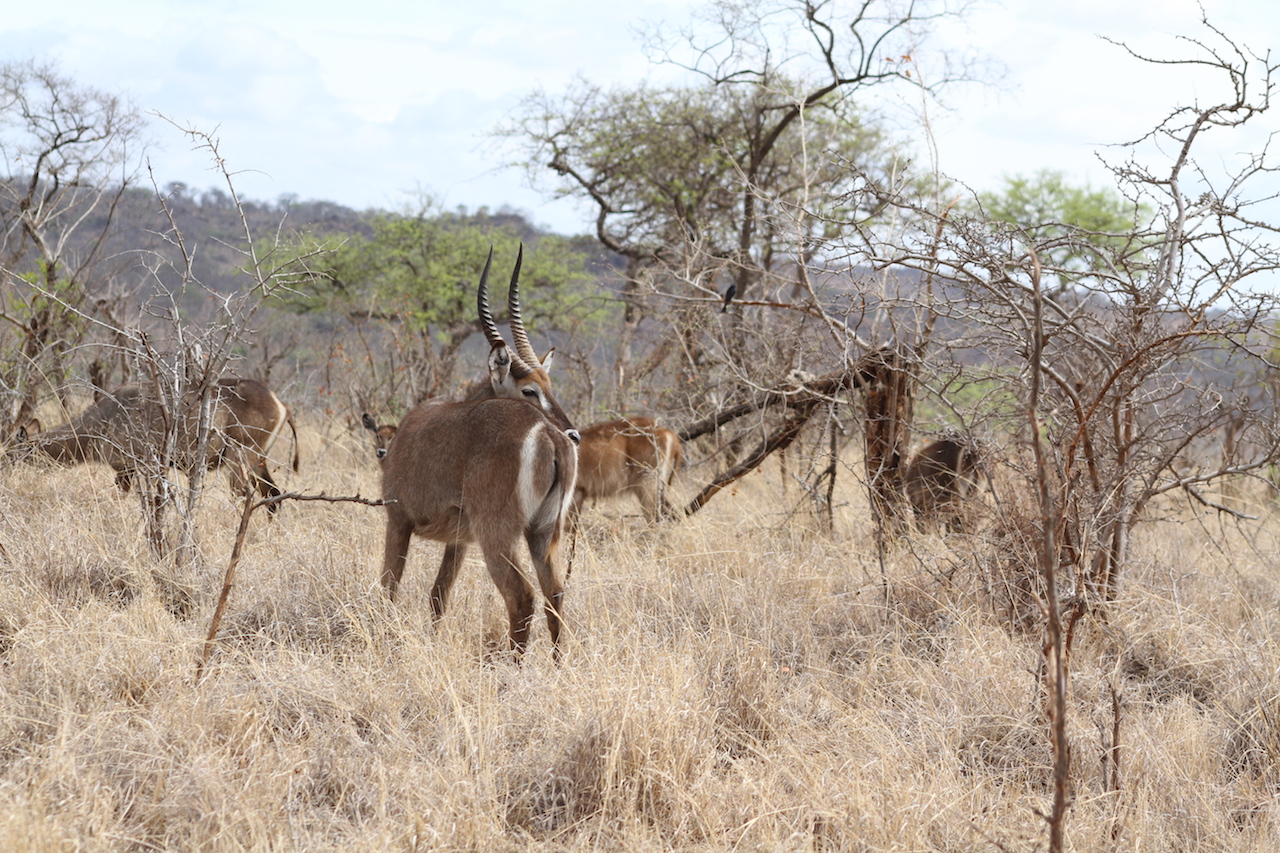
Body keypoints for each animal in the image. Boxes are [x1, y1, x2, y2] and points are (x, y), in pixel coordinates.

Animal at [13, 376, 296, 507]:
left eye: (9, 452)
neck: (100, 419)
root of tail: (280, 402)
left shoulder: (131, 466)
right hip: (258, 460)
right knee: (273, 495)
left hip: (240, 457)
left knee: (246, 496)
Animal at [376, 245, 583, 655]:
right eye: (530, 389)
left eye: (548, 386)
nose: (574, 434)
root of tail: (547, 435)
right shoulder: (459, 539)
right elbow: (438, 595)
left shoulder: (398, 518)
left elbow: (389, 588)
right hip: (543, 531)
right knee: (555, 593)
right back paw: (559, 664)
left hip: (498, 531)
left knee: (521, 596)